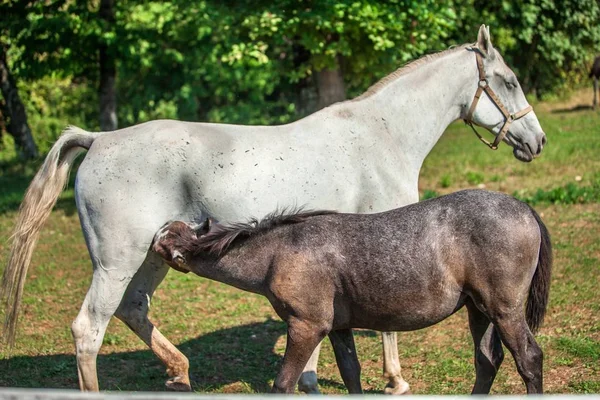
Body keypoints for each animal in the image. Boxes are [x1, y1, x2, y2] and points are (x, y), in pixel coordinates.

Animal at [1, 25, 544, 394]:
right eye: (509, 80)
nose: (535, 140)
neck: (381, 133)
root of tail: (99, 139)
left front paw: (311, 378)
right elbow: (385, 323)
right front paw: (394, 380)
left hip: (153, 255)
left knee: (133, 309)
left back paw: (180, 372)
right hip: (117, 261)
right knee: (89, 330)